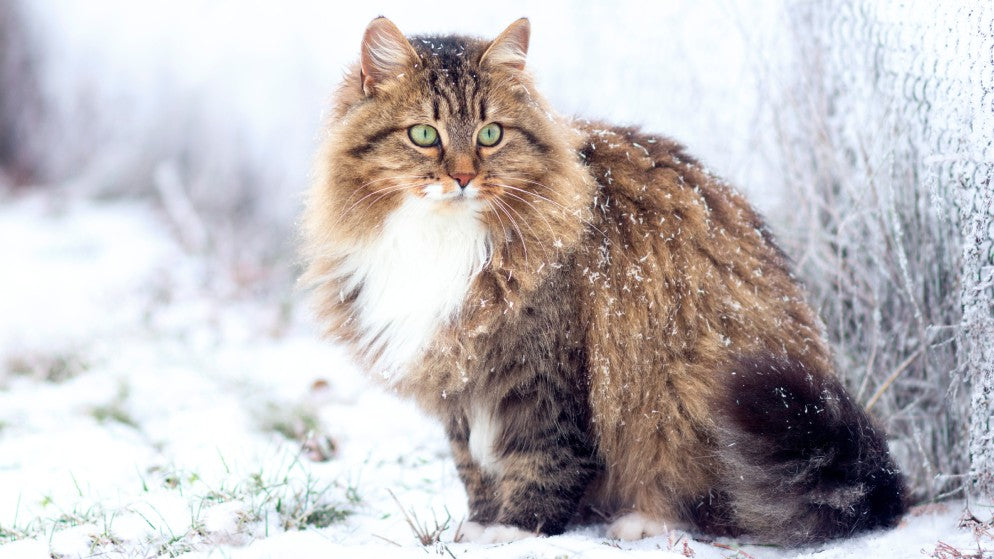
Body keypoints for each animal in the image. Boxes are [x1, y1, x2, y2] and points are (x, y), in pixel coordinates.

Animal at [296, 16, 908, 548]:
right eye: (424, 134)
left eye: (491, 134)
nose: (465, 177)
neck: (441, 238)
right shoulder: (459, 377)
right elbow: (473, 464)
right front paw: (479, 524)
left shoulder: (544, 369)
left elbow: (543, 459)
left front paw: (516, 531)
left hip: (690, 385)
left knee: (715, 504)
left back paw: (642, 521)